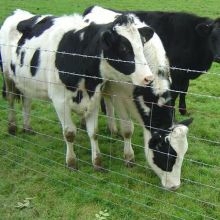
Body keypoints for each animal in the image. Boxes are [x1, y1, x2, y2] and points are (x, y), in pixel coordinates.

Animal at [0, 9, 155, 170]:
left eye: (142, 45)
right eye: (123, 48)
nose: (148, 78)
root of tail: (18, 12)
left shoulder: (94, 97)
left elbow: (93, 132)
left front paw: (97, 162)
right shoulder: (59, 101)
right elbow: (69, 133)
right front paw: (71, 162)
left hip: (26, 81)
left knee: (27, 101)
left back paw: (27, 127)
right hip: (7, 75)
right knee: (10, 99)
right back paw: (12, 127)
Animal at [82, 6, 192, 189]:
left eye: (183, 154)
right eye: (167, 155)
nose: (175, 187)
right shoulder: (120, 94)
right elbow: (128, 129)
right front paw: (129, 157)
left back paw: (112, 129)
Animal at [84, 5, 220, 115]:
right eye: (213, 37)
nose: (218, 57)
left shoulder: (184, 74)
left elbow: (184, 90)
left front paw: (183, 110)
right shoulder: (175, 73)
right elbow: (175, 94)